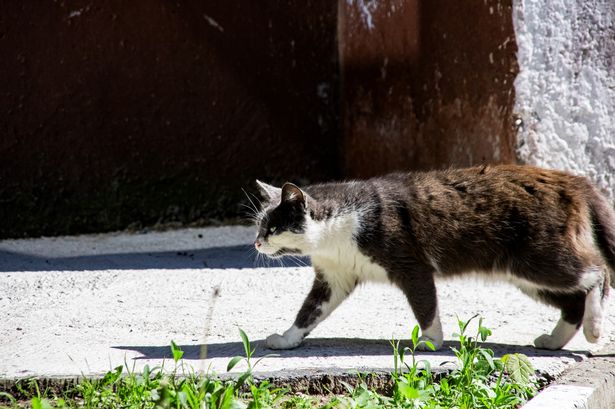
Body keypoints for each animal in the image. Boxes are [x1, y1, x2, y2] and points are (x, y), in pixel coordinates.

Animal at [251, 164, 615, 350]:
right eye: (259, 224)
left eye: (272, 227)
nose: (256, 243)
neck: (337, 233)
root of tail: (575, 179)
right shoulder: (335, 276)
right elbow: (310, 311)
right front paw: (287, 338)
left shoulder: (411, 265)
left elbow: (425, 304)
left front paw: (430, 342)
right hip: (526, 274)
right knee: (573, 301)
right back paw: (554, 340)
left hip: (540, 257)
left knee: (597, 273)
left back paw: (595, 328)